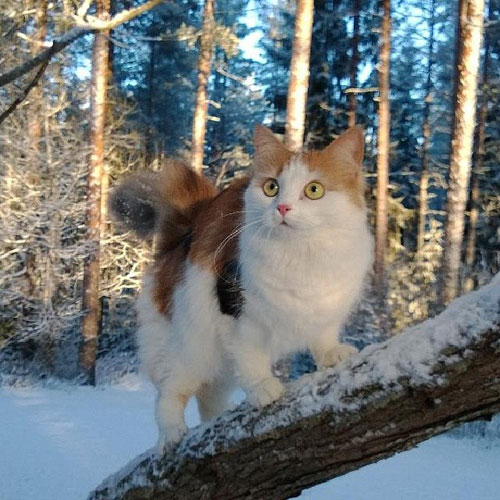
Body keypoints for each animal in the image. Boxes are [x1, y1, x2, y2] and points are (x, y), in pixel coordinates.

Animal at [111, 126, 374, 454]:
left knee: (208, 397)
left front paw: (330, 354)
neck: (301, 255)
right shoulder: (236, 312)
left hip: (216, 364)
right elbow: (250, 357)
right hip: (191, 345)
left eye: (314, 190)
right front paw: (262, 386)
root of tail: (183, 233)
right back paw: (171, 434)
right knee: (170, 393)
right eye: (272, 187)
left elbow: (322, 336)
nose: (282, 208)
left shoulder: (326, 309)